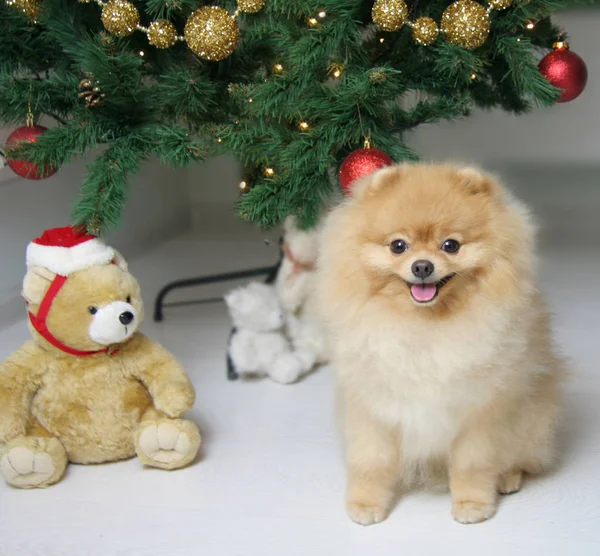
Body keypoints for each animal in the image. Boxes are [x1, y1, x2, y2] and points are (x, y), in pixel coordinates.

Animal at [316, 164, 564, 524]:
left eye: (450, 245)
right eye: (398, 246)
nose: (422, 266)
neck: (426, 327)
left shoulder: (480, 411)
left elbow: (473, 463)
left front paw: (473, 503)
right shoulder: (372, 406)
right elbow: (371, 461)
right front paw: (365, 504)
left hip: (533, 418)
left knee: (522, 456)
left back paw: (507, 477)